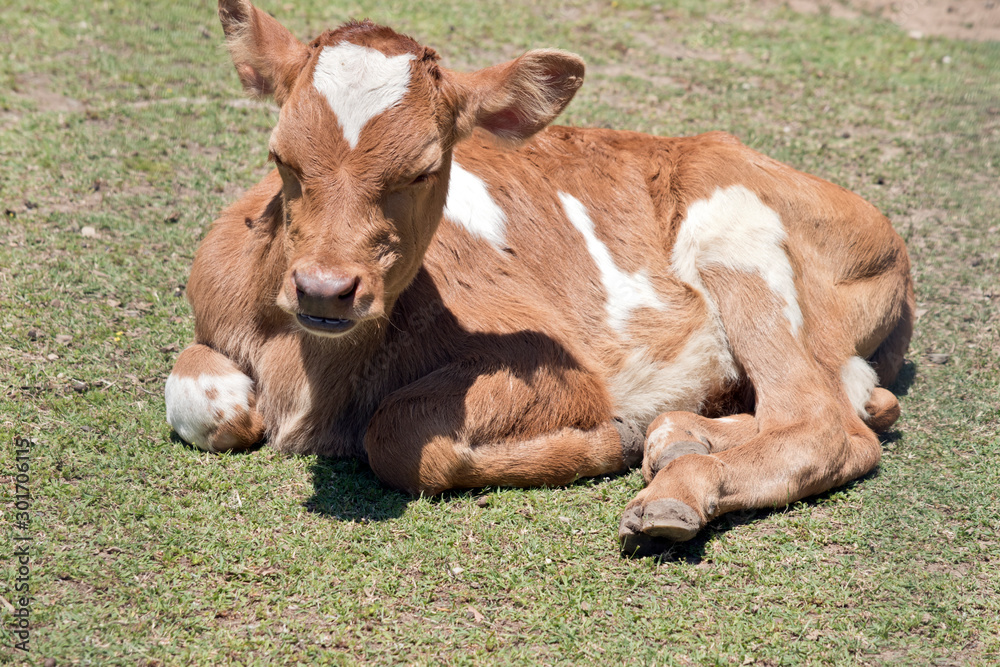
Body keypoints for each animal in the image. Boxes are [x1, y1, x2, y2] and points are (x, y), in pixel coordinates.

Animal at [165, 0, 914, 555]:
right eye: (281, 157)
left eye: (424, 169)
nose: (324, 288)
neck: (312, 374)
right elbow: (197, 399)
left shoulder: (556, 367)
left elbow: (398, 436)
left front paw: (609, 440)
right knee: (851, 407)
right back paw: (680, 434)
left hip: (737, 232)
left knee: (825, 426)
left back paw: (675, 486)